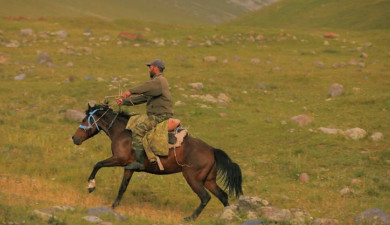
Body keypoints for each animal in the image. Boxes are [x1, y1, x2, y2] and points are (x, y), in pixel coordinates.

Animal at [71, 103, 242, 220]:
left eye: (84, 119)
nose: (74, 138)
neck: (122, 132)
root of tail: (212, 150)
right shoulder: (129, 168)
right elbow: (122, 187)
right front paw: (113, 206)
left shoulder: (119, 160)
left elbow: (98, 164)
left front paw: (91, 186)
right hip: (208, 180)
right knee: (223, 196)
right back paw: (227, 215)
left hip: (192, 178)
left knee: (205, 197)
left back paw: (190, 218)